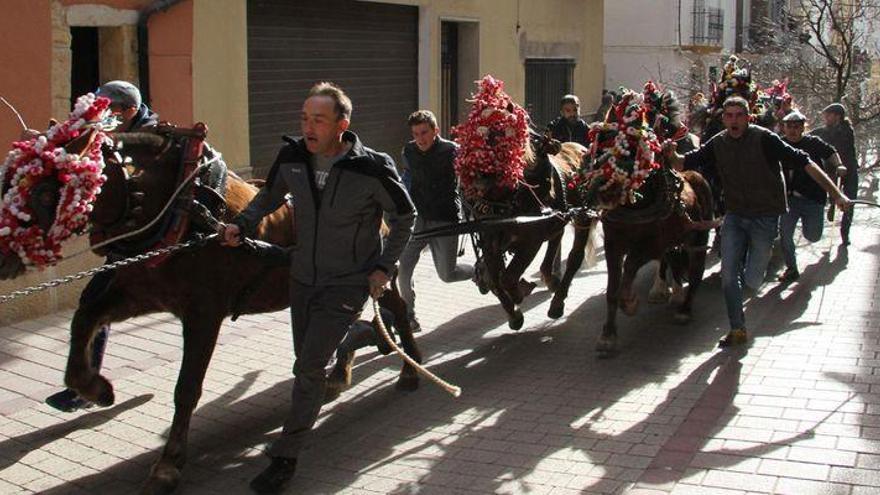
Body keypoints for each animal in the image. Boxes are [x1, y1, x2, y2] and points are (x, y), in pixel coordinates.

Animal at [0, 128, 422, 495]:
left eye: (43, 191)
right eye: (7, 178)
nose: (3, 255)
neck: (182, 209)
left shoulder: (204, 313)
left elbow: (187, 388)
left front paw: (168, 465)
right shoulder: (140, 295)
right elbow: (85, 318)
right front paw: (97, 389)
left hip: (375, 274)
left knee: (395, 307)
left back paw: (409, 367)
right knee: (343, 330)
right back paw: (344, 368)